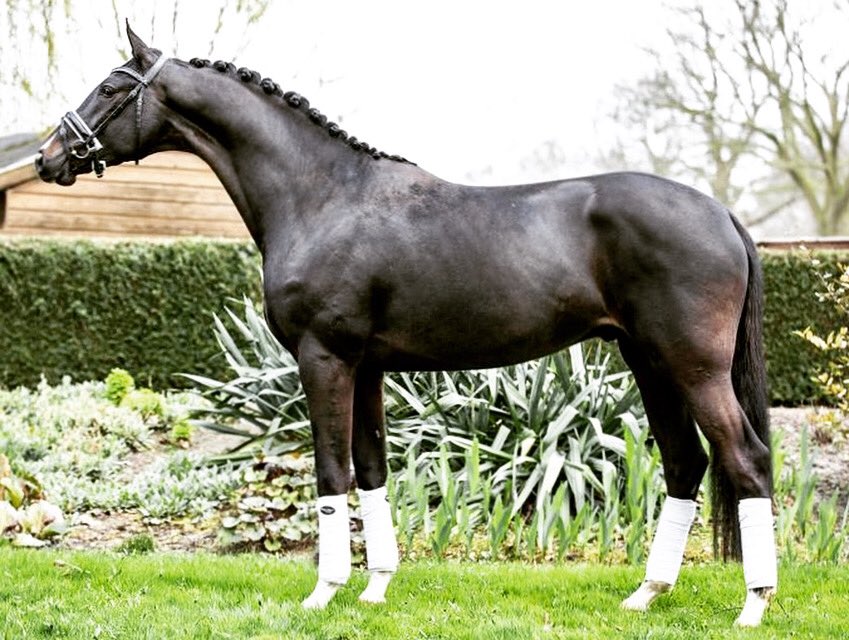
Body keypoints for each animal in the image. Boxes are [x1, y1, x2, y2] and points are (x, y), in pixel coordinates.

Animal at [36, 25, 777, 626]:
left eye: (110, 87)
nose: (49, 156)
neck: (321, 197)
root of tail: (720, 212)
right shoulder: (365, 368)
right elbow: (369, 469)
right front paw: (374, 589)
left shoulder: (324, 358)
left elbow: (330, 470)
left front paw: (322, 593)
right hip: (649, 362)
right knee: (686, 464)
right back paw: (646, 594)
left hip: (692, 366)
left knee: (745, 458)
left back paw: (752, 605)